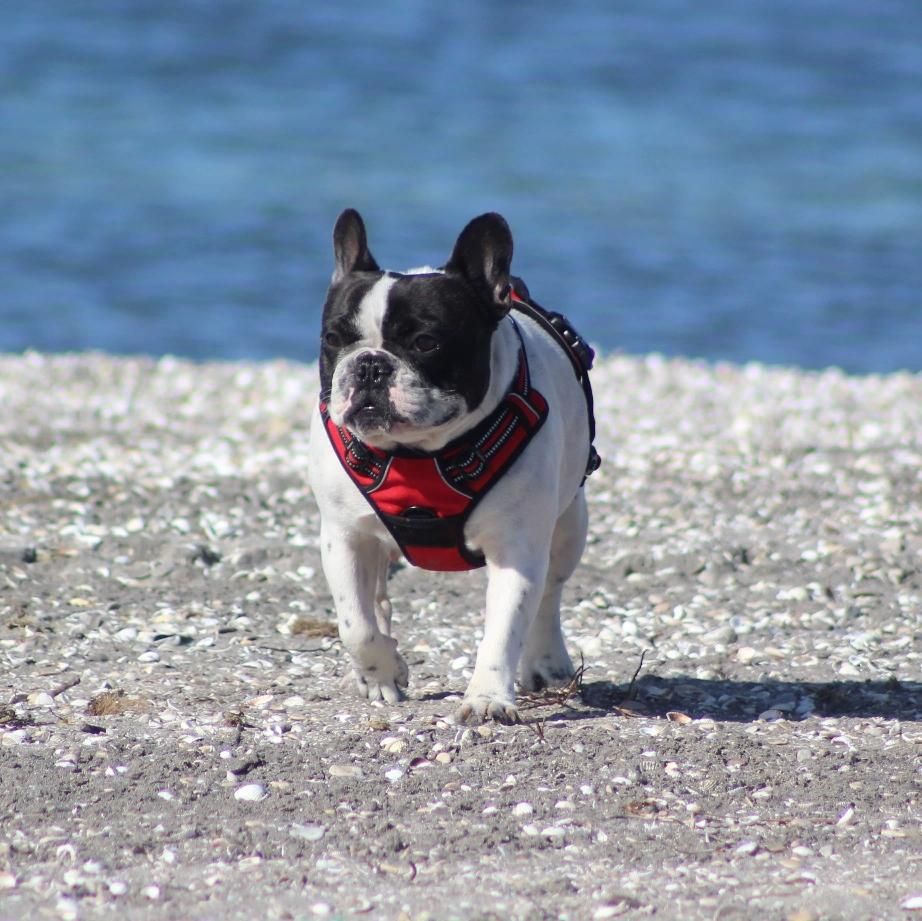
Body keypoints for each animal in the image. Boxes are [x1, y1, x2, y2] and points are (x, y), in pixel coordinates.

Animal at [310, 210, 596, 724]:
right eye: (333, 339)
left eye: (426, 342)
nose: (369, 365)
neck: (417, 454)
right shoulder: (344, 536)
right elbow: (355, 623)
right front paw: (381, 673)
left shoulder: (516, 548)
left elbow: (505, 629)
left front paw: (487, 699)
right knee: (375, 598)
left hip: (568, 525)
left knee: (549, 594)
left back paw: (547, 662)